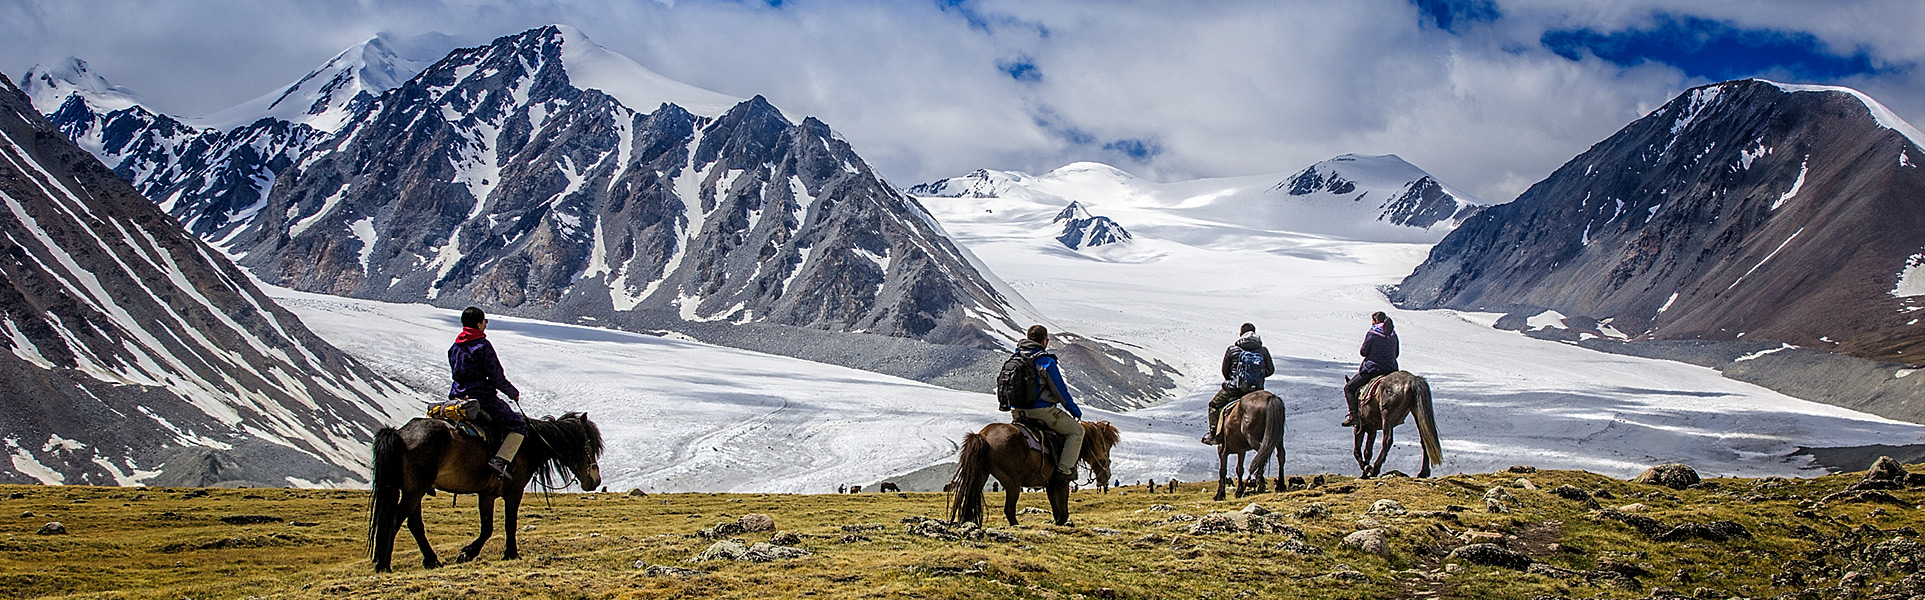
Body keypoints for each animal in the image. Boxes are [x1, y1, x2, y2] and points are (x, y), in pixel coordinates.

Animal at [363, 411, 596, 573]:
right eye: (590, 447)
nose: (595, 480)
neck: (530, 444)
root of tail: (400, 433)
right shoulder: (514, 491)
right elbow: (510, 523)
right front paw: (511, 553)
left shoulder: (487, 494)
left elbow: (487, 528)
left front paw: (467, 553)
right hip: (414, 490)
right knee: (395, 520)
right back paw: (383, 564)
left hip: (413, 490)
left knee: (414, 524)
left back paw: (431, 560)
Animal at [950, 419, 1124, 526]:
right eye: (1106, 444)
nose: (1106, 476)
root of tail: (983, 435)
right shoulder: (1062, 482)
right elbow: (1063, 510)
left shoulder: (1050, 484)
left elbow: (1056, 508)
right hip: (1012, 483)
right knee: (1009, 509)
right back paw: (1016, 526)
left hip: (980, 475)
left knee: (969, 499)